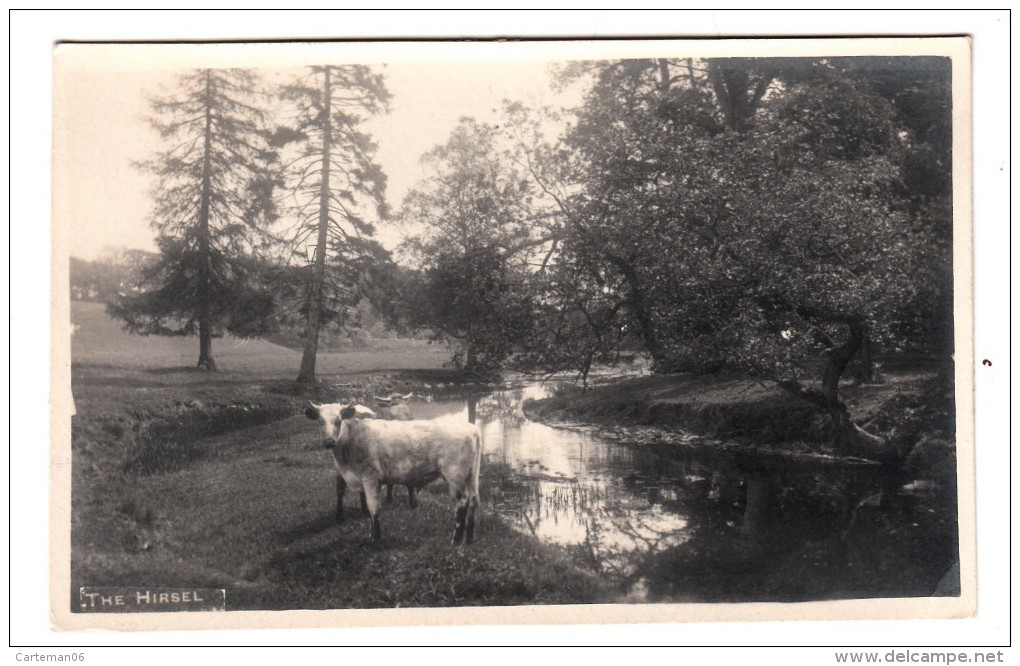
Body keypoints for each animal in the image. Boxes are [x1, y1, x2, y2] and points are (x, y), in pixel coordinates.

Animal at [301, 401, 481, 542]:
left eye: (338, 420)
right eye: (320, 421)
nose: (329, 442)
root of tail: (471, 428)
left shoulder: (370, 477)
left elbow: (373, 507)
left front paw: (375, 537)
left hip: (455, 475)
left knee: (462, 502)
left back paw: (456, 540)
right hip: (471, 475)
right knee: (473, 499)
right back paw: (469, 538)